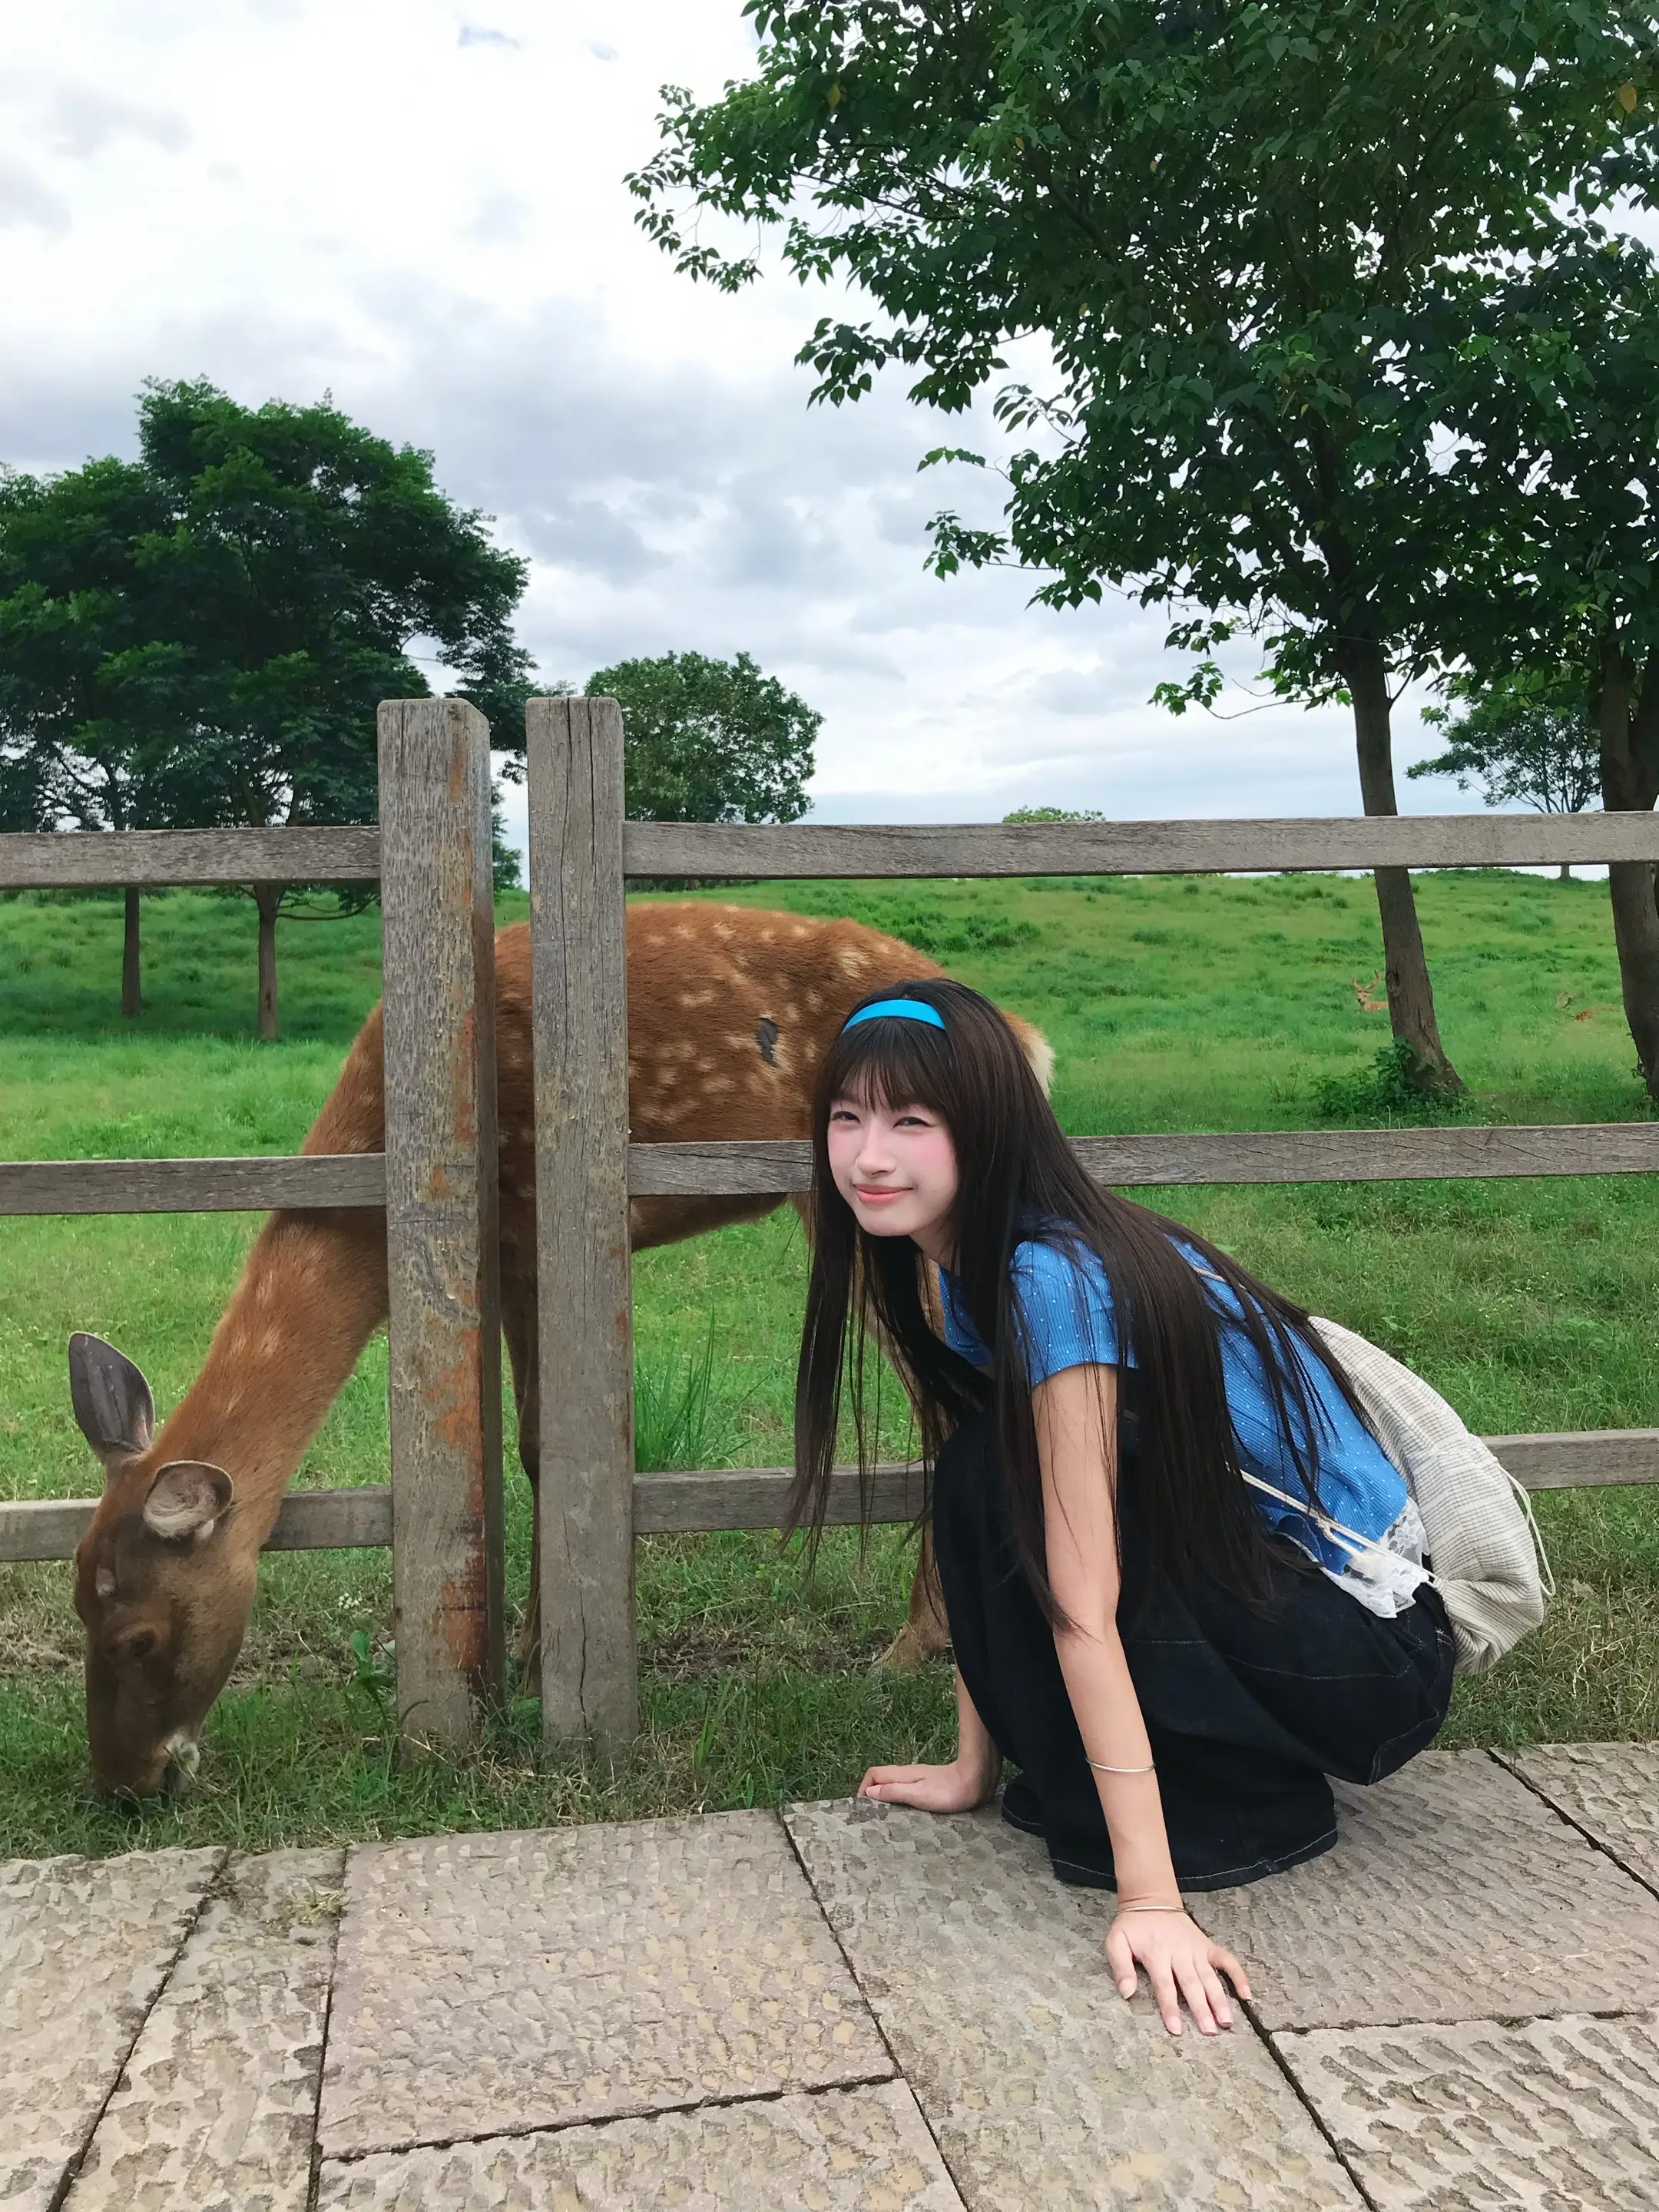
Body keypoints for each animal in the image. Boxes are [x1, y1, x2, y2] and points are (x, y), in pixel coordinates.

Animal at [68, 902, 1053, 1796]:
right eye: (77, 1602)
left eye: (138, 1636)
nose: (124, 1782)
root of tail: (1030, 1039)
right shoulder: (507, 1253)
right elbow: (537, 1447)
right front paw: (532, 1657)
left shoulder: (536, 1217)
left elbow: (552, 1444)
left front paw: (544, 1663)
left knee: (952, 1401)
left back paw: (912, 1647)